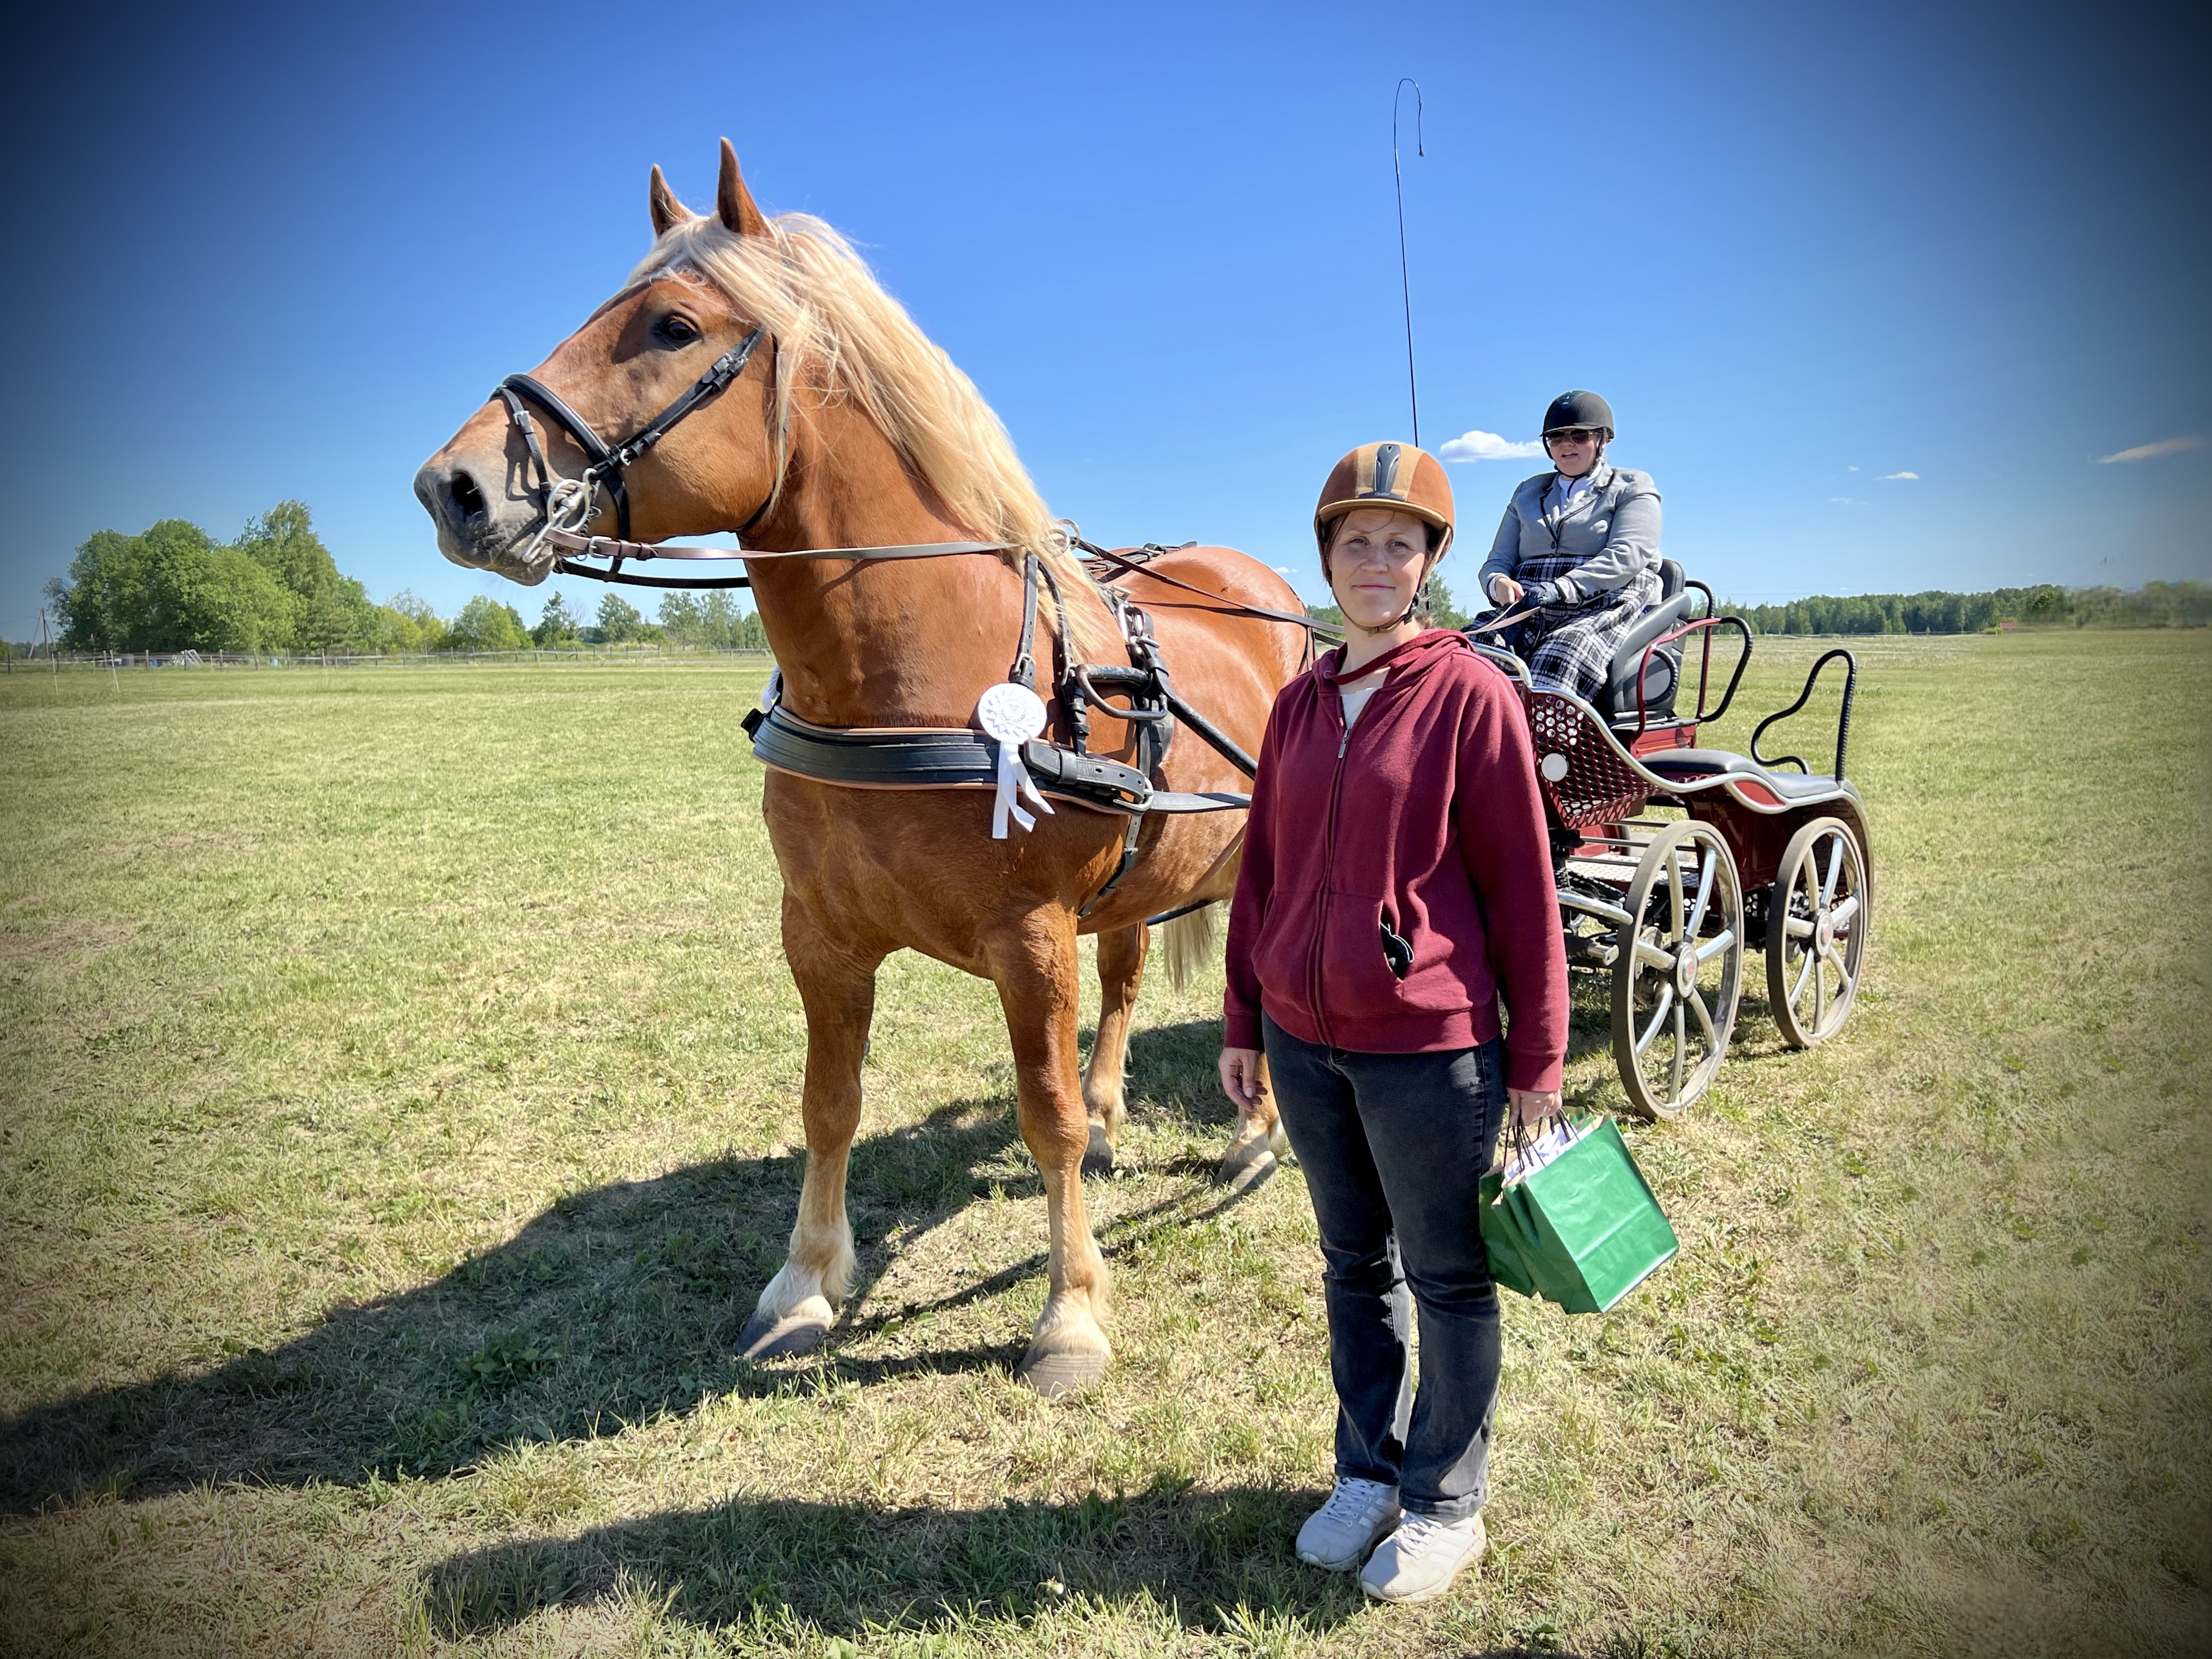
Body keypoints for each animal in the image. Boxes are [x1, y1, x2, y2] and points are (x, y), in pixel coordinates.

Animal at [422, 143, 1301, 1398]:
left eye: (674, 326)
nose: (453, 488)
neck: (913, 673)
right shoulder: (820, 932)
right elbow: (828, 1104)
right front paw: (803, 1284)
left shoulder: (1032, 937)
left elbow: (1041, 1120)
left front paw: (1069, 1312)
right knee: (1128, 982)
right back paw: (1121, 1111)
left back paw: (1251, 1137)